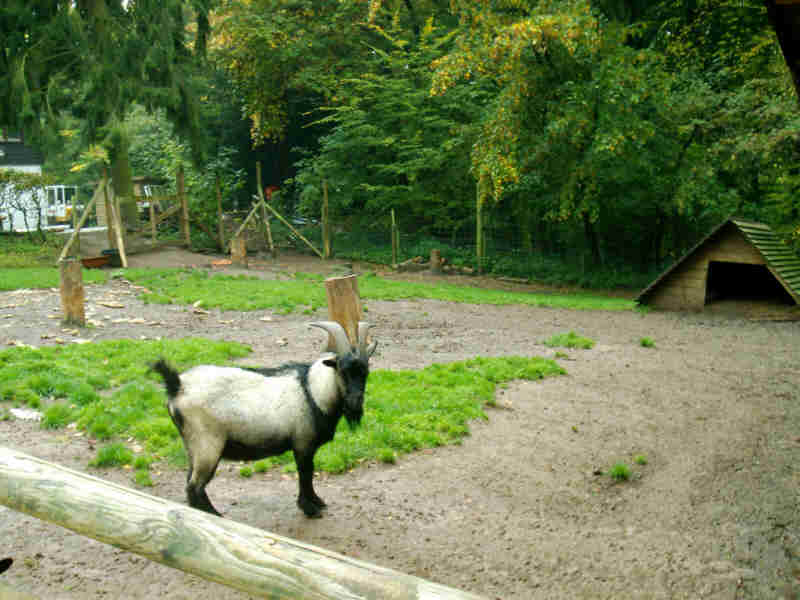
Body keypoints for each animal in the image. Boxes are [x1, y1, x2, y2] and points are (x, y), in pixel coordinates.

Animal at [153, 322, 378, 516]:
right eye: (342, 370)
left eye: (365, 372)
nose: (355, 403)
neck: (312, 391)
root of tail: (178, 385)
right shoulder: (303, 444)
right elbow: (305, 474)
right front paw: (310, 509)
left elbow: (308, 474)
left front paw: (317, 502)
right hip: (207, 445)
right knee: (195, 486)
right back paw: (216, 516)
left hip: (193, 446)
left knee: (190, 483)